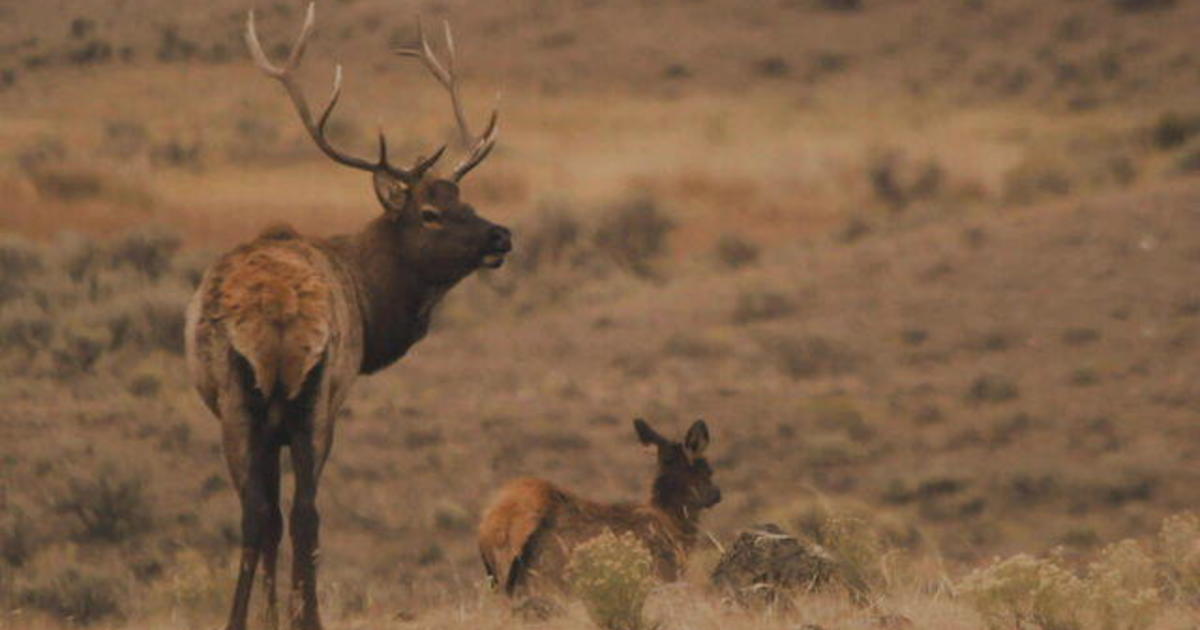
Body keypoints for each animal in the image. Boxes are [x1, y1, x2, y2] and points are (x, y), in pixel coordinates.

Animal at [184, 3, 513, 624]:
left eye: (464, 198)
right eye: (431, 212)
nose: (502, 235)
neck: (367, 297)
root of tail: (278, 310)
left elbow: (271, 520)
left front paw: (270, 617)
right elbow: (288, 517)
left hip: (259, 401)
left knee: (267, 514)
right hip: (305, 399)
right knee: (298, 512)